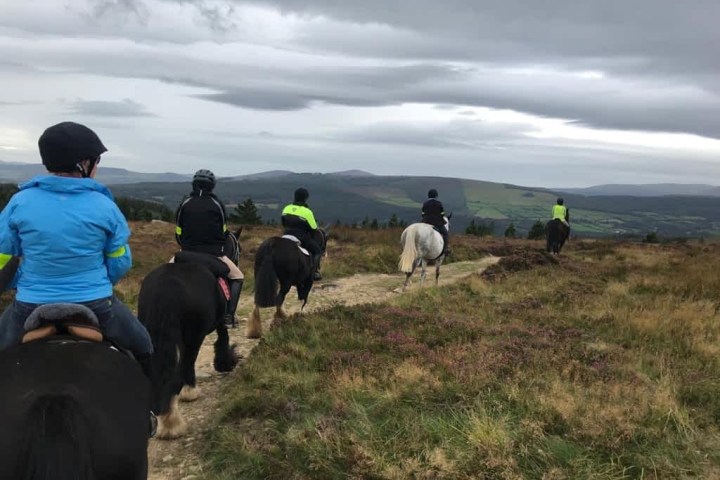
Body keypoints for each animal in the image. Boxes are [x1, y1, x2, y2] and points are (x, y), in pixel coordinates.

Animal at [136, 229, 243, 438]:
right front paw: (226, 363)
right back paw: (173, 422)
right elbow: (223, 339)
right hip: (193, 337)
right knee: (182, 368)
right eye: (238, 248)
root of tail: (165, 288)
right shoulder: (218, 322)